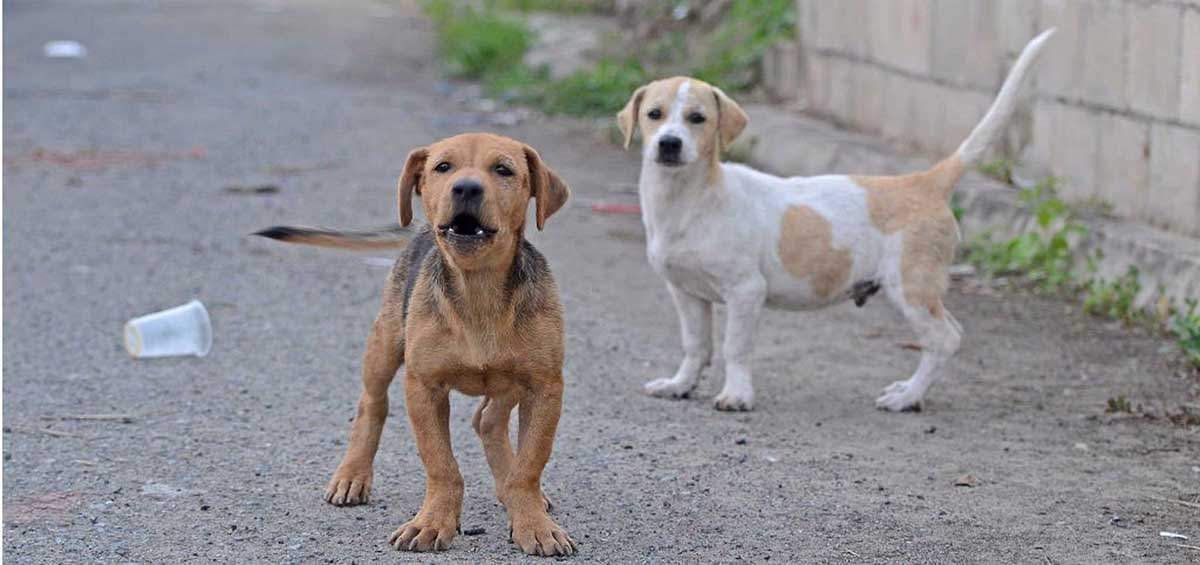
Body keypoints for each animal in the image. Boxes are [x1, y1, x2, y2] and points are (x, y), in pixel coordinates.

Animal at [255, 133, 573, 556]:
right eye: (443, 167)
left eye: (503, 170)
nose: (466, 188)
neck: (479, 289)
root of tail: (418, 228)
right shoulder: (424, 386)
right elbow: (441, 465)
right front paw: (433, 522)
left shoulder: (544, 386)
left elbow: (529, 466)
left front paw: (534, 523)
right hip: (385, 344)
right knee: (372, 404)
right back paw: (352, 475)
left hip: (512, 379)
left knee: (487, 419)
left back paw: (506, 487)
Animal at [624, 29, 1056, 410]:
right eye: (653, 115)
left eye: (697, 118)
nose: (669, 144)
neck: (688, 201)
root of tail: (924, 181)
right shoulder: (685, 292)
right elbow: (696, 345)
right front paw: (680, 385)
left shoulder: (746, 291)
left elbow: (735, 348)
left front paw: (737, 395)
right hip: (920, 290)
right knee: (947, 333)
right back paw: (909, 390)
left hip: (910, 287)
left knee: (945, 339)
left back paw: (907, 398)